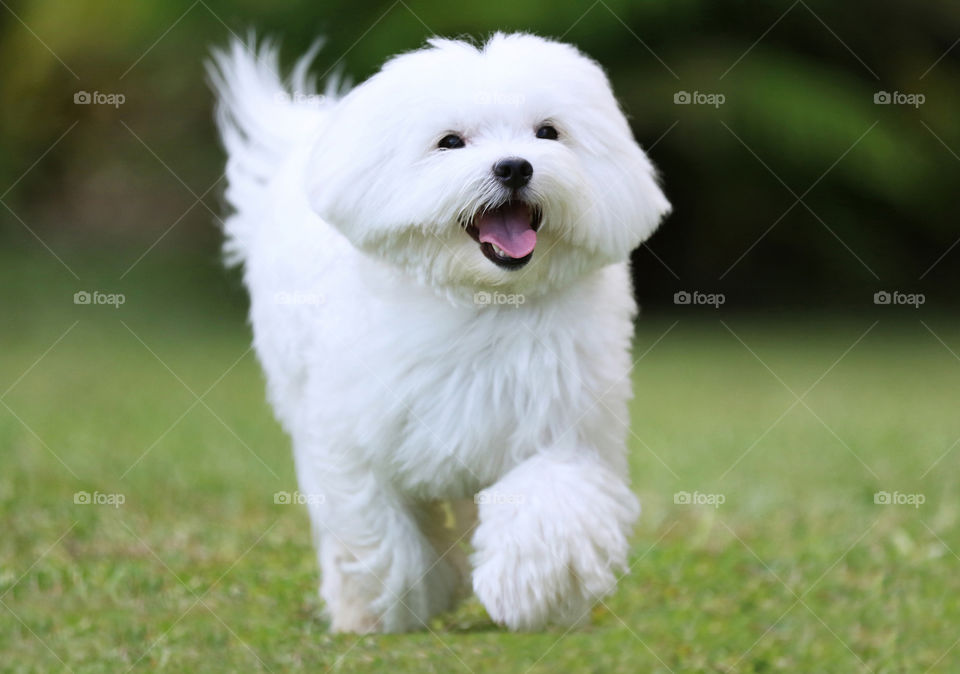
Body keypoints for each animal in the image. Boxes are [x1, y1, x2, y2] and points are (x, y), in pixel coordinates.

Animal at [209, 31, 672, 632]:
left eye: (548, 132)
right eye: (450, 142)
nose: (515, 167)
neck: (481, 297)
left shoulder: (563, 421)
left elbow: (550, 497)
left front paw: (526, 590)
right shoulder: (355, 438)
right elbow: (380, 528)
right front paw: (389, 605)